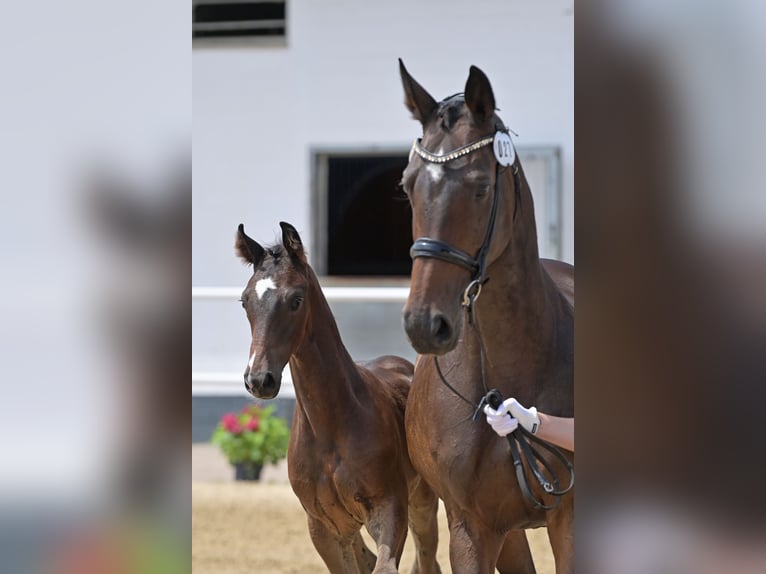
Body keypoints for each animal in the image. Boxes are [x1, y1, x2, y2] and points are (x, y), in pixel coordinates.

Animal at [236, 222, 444, 574]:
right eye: (244, 301)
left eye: (296, 299)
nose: (259, 380)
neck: (330, 428)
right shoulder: (323, 526)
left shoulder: (390, 509)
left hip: (423, 503)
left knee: (427, 559)